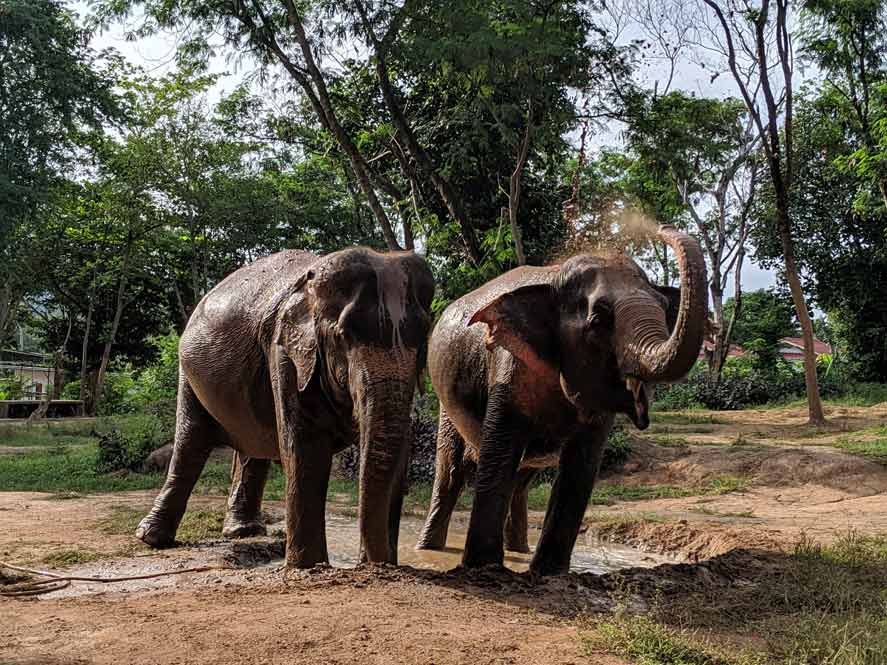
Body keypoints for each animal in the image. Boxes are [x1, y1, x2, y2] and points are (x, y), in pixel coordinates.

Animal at [134, 246, 434, 568]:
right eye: (344, 336)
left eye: (423, 336)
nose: (376, 563)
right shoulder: (285, 352)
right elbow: (306, 447)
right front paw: (309, 566)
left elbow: (401, 452)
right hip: (187, 373)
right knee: (191, 442)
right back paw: (151, 538)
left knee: (251, 445)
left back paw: (243, 532)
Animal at [412, 226, 704, 572]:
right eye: (598, 320)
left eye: (662, 305)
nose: (660, 229)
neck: (554, 278)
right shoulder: (508, 365)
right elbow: (500, 452)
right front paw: (483, 568)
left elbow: (580, 467)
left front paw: (548, 572)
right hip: (446, 405)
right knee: (453, 470)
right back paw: (428, 550)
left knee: (521, 477)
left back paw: (520, 551)